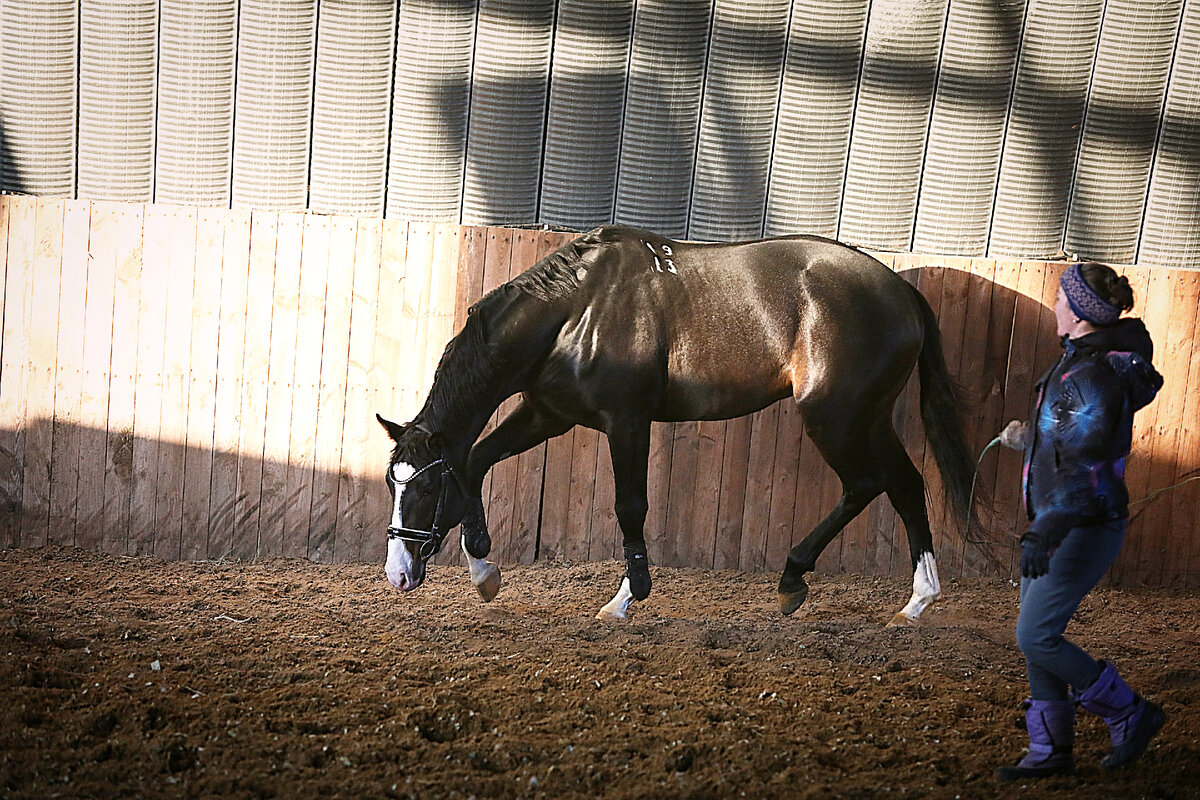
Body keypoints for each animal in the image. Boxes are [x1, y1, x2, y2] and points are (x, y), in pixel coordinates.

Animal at [374, 225, 974, 623]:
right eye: (392, 484)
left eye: (423, 488)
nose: (397, 573)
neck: (574, 310)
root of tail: (903, 292)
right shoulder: (548, 414)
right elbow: (475, 461)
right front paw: (484, 571)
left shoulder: (626, 421)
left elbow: (630, 507)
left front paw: (627, 597)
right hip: (866, 417)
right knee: (904, 484)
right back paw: (916, 601)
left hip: (837, 415)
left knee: (868, 483)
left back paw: (795, 579)